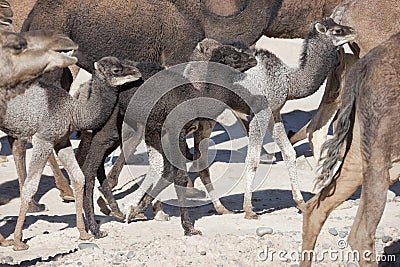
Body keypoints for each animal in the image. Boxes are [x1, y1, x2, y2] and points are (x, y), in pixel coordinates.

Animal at [0, 54, 143, 251]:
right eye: (116, 70)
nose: (137, 72)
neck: (74, 111)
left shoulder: (62, 140)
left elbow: (78, 177)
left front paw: (84, 233)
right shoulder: (44, 139)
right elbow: (31, 186)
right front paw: (17, 241)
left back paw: (2, 240)